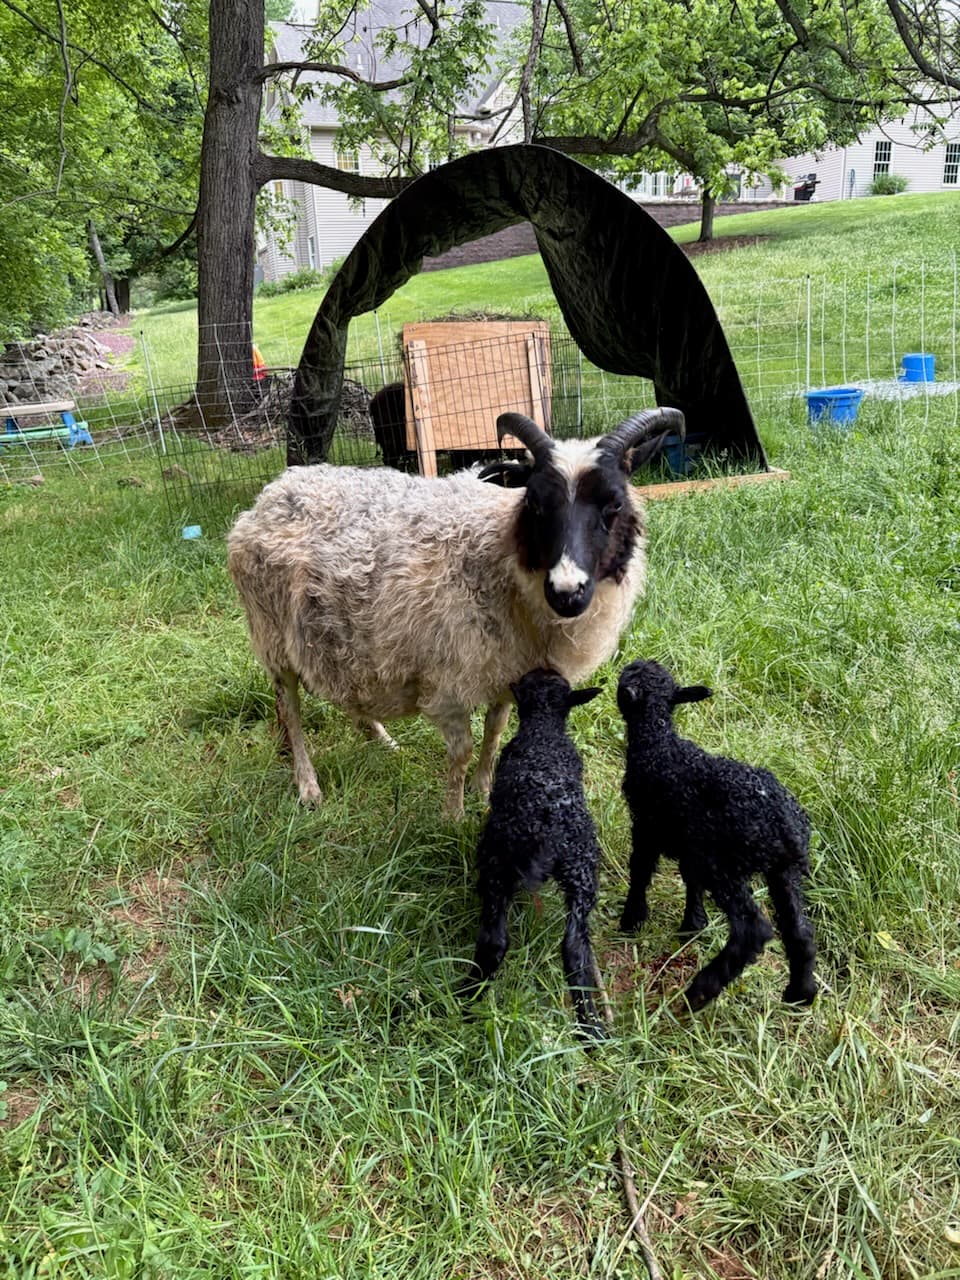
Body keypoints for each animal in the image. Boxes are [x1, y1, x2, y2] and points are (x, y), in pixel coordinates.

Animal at [226, 406, 684, 816]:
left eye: (614, 505)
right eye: (535, 504)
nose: (566, 591)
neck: (498, 555)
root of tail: (273, 491)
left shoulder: (508, 670)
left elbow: (494, 733)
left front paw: (483, 791)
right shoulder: (447, 682)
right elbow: (461, 751)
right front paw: (453, 816)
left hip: (335, 637)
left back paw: (382, 740)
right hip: (271, 634)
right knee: (288, 708)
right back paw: (308, 786)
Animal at [462, 668, 606, 1040]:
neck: (544, 730)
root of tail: (549, 833)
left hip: (498, 862)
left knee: (495, 941)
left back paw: (465, 999)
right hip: (583, 872)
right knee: (575, 948)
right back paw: (590, 1028)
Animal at [616, 658, 817, 1011]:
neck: (658, 742)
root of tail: (787, 828)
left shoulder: (647, 825)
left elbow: (640, 870)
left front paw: (632, 920)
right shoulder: (691, 842)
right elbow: (690, 881)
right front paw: (692, 926)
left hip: (725, 865)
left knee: (754, 929)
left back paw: (701, 990)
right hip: (782, 872)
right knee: (800, 932)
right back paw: (800, 994)